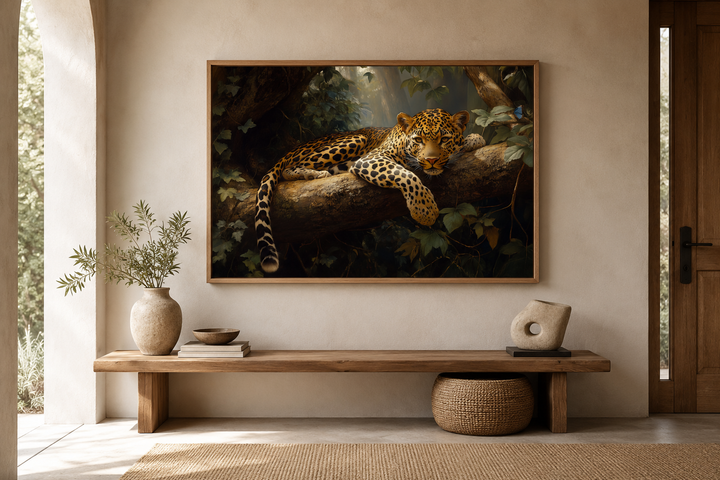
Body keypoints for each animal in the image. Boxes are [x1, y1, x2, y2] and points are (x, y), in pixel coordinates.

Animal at [254, 108, 486, 273]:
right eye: (418, 140)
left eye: (444, 140)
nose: (431, 160)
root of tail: (290, 150)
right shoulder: (371, 158)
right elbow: (406, 174)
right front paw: (424, 210)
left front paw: (473, 139)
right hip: (355, 139)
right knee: (287, 169)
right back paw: (314, 175)